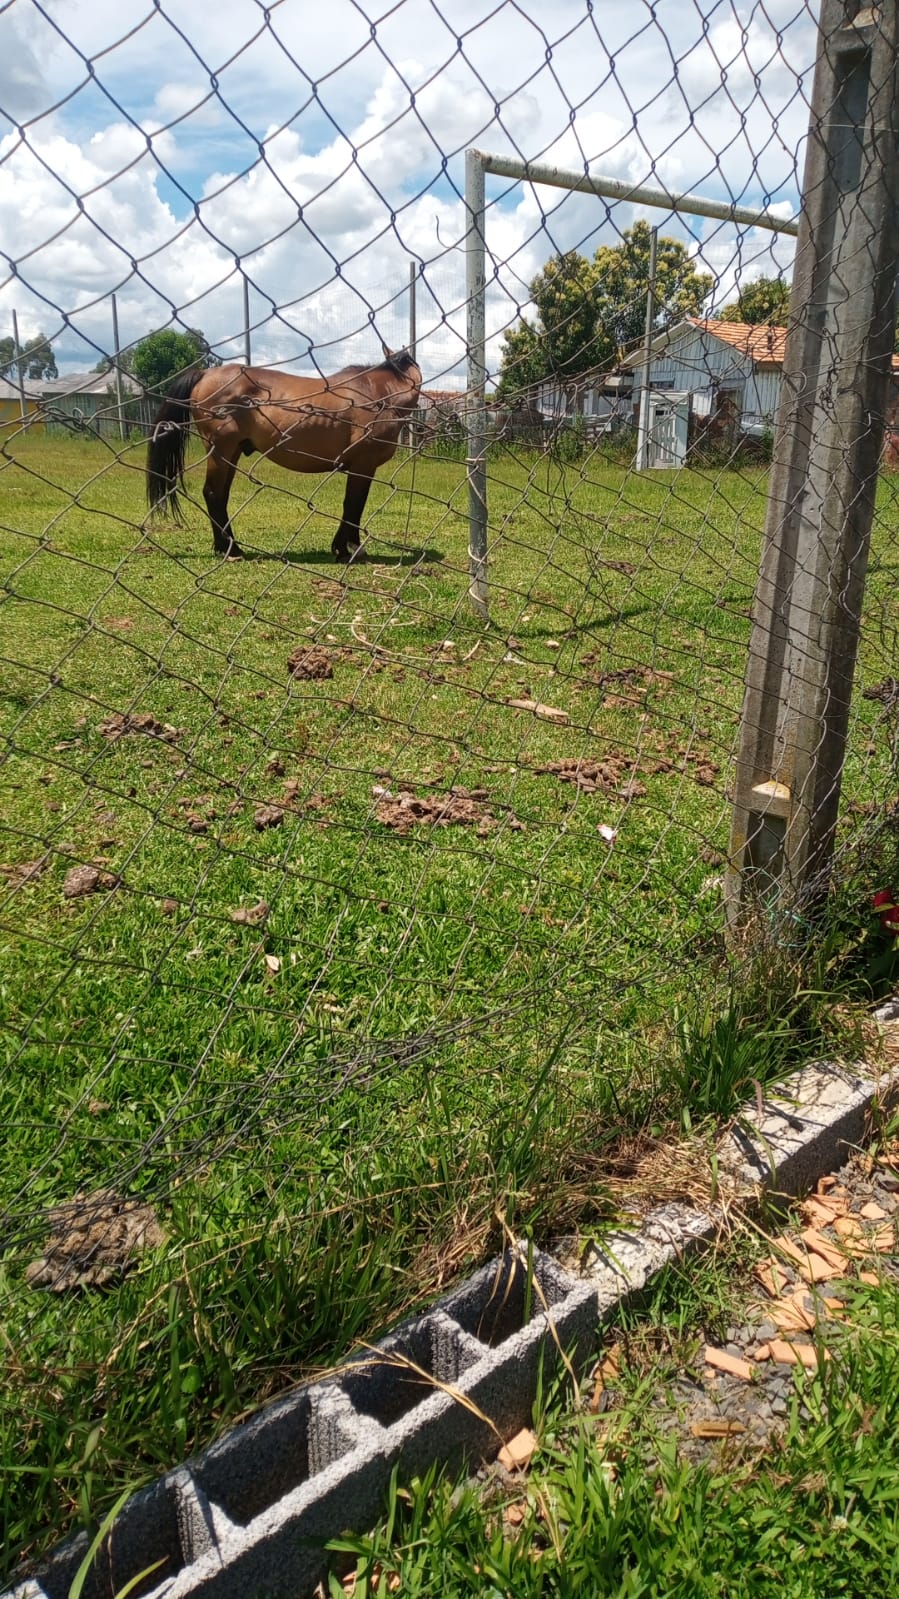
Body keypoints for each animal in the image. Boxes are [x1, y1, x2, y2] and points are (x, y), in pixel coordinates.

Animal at [147, 345, 422, 562]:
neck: (379, 393)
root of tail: (205, 373)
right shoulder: (363, 464)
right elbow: (354, 505)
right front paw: (350, 550)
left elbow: (352, 505)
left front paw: (341, 548)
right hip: (221, 451)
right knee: (213, 494)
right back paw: (232, 550)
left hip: (231, 453)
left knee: (220, 495)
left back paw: (225, 546)